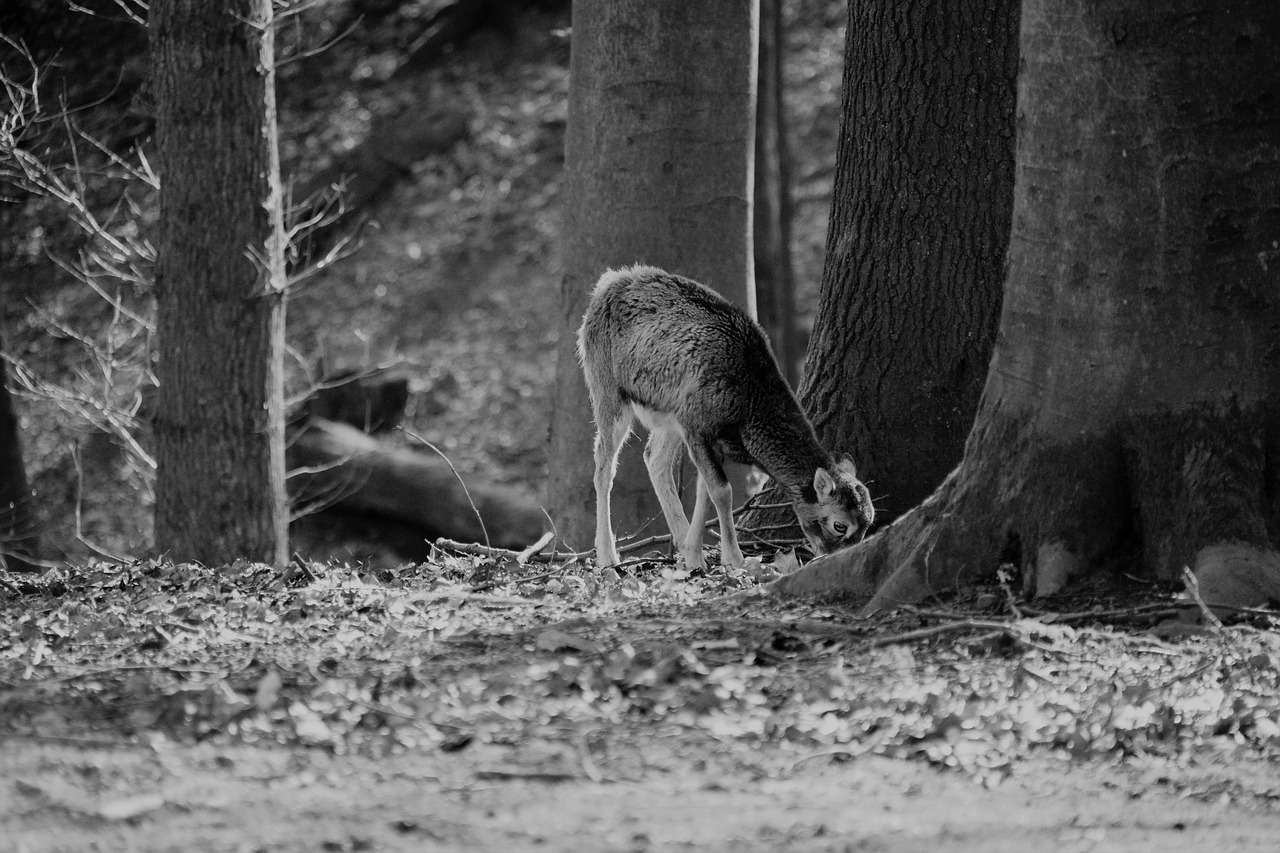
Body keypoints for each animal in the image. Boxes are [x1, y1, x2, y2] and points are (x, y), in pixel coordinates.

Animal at [578, 263, 870, 571]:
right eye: (840, 525)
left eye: (868, 525)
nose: (840, 558)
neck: (748, 406)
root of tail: (606, 283)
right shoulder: (697, 427)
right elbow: (721, 490)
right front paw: (733, 559)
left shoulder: (700, 431)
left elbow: (704, 490)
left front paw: (694, 555)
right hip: (606, 386)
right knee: (604, 464)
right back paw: (608, 555)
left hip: (669, 412)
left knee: (654, 458)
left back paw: (679, 541)